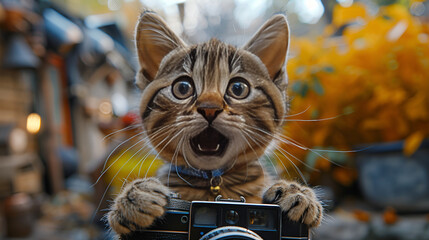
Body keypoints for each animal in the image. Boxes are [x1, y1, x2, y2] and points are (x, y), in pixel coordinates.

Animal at [106, 10, 320, 234]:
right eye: (182, 88)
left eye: (238, 88)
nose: (209, 108)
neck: (214, 185)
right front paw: (134, 199)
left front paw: (294, 193)